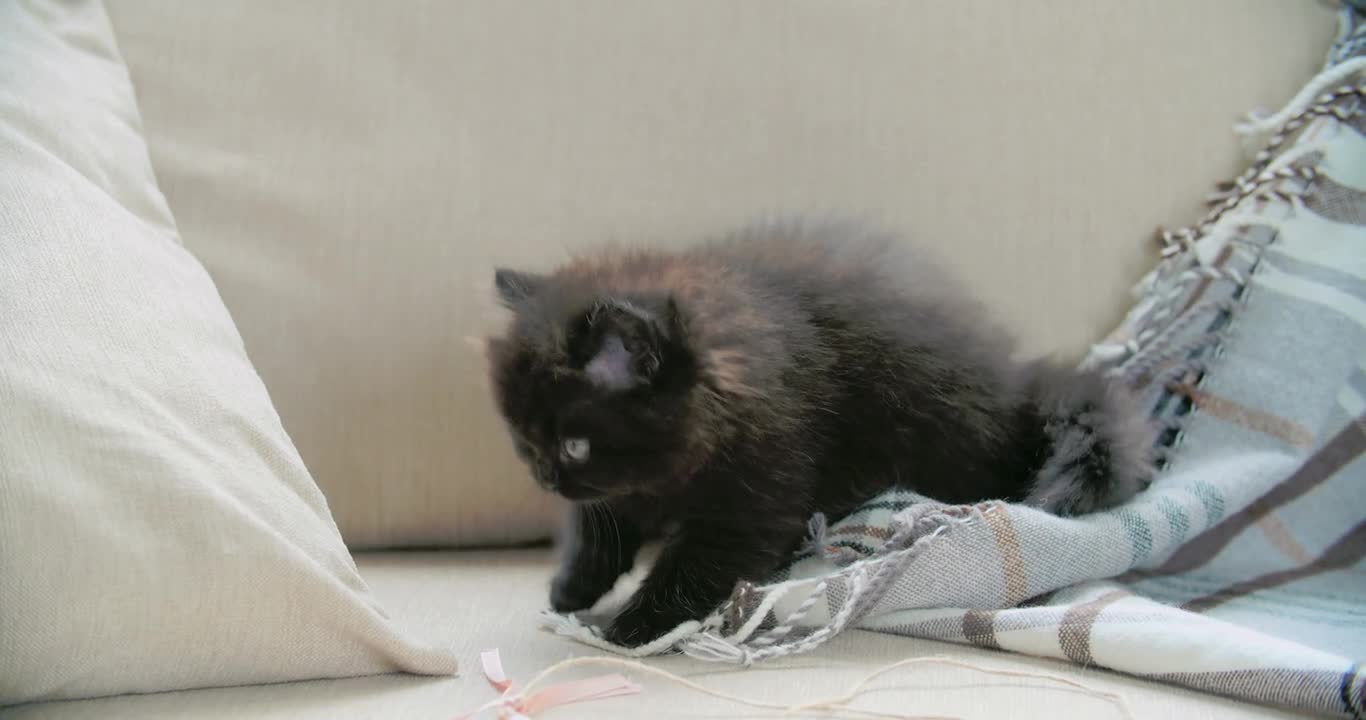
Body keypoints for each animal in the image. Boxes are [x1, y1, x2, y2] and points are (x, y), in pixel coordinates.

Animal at [483, 221, 1152, 647]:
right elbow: (599, 528)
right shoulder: (625, 490)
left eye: (573, 445)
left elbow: (696, 564)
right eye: (523, 438)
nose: (544, 474)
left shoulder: (759, 484)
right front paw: (572, 588)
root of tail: (1017, 390)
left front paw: (633, 625)